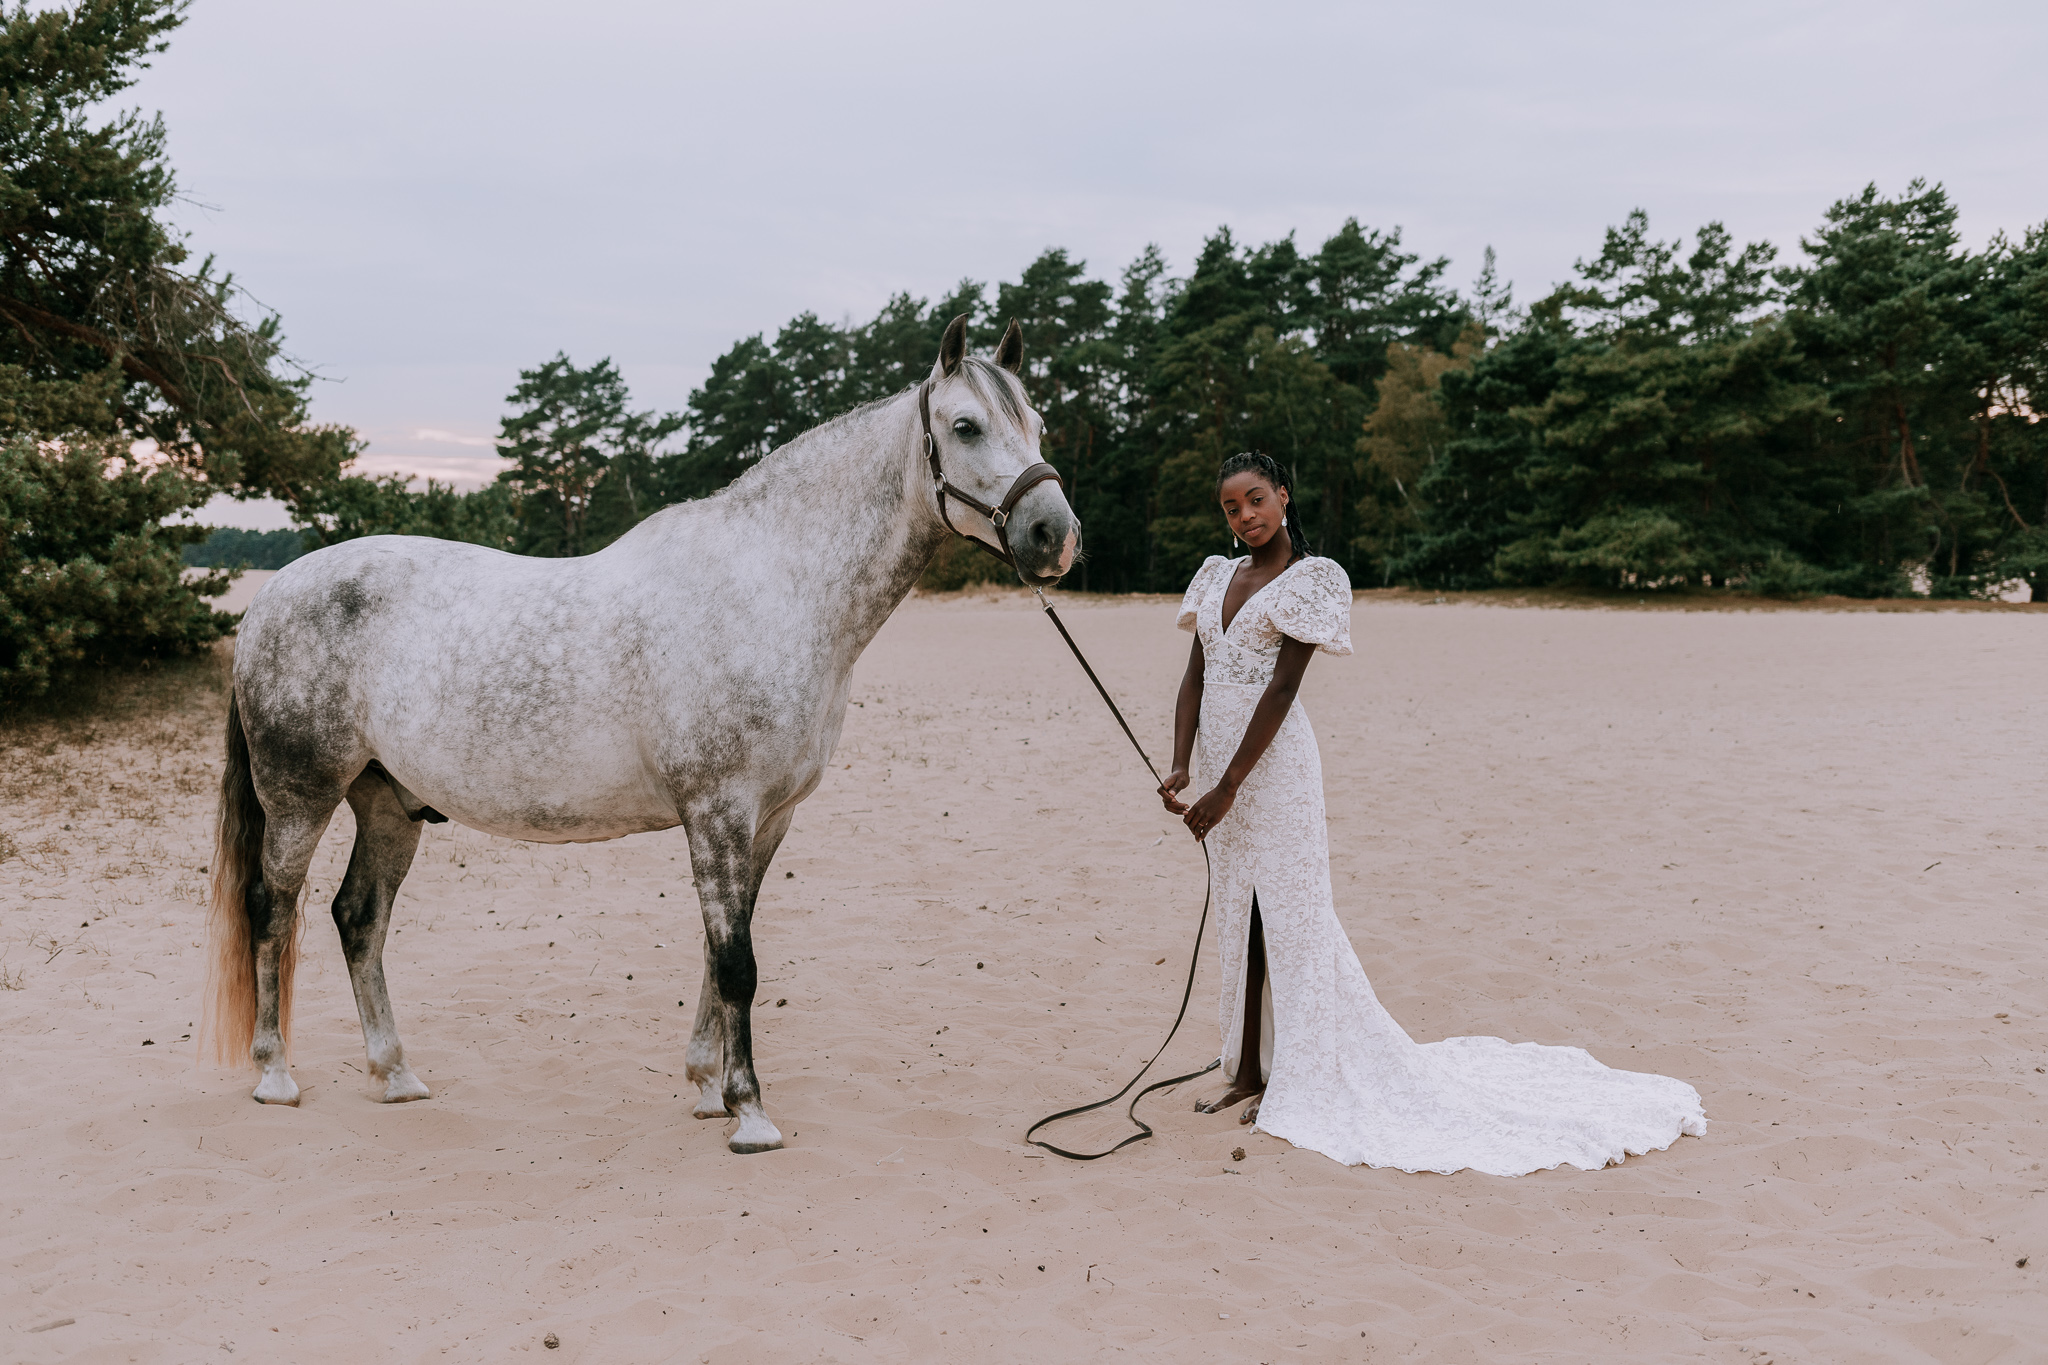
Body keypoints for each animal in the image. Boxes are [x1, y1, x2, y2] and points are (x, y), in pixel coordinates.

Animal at [202, 316, 1078, 1153]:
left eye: (1038, 423)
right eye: (965, 425)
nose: (1055, 535)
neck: (770, 587)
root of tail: (269, 596)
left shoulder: (768, 819)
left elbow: (720, 952)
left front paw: (707, 1087)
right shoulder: (718, 811)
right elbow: (737, 962)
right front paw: (750, 1114)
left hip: (387, 803)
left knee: (358, 919)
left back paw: (395, 1074)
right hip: (300, 798)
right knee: (273, 908)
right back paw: (275, 1075)